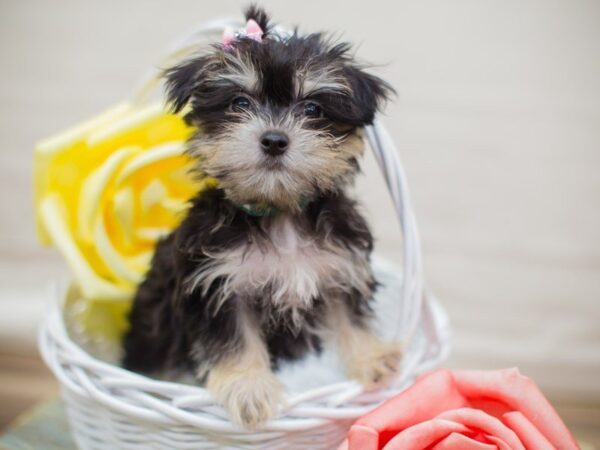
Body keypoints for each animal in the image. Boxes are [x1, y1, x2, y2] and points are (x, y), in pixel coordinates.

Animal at [122, 6, 400, 428]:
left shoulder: (339, 268)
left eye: (312, 109)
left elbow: (349, 317)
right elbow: (236, 339)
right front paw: (249, 388)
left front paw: (372, 358)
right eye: (240, 103)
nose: (273, 140)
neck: (279, 212)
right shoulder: (219, 286)